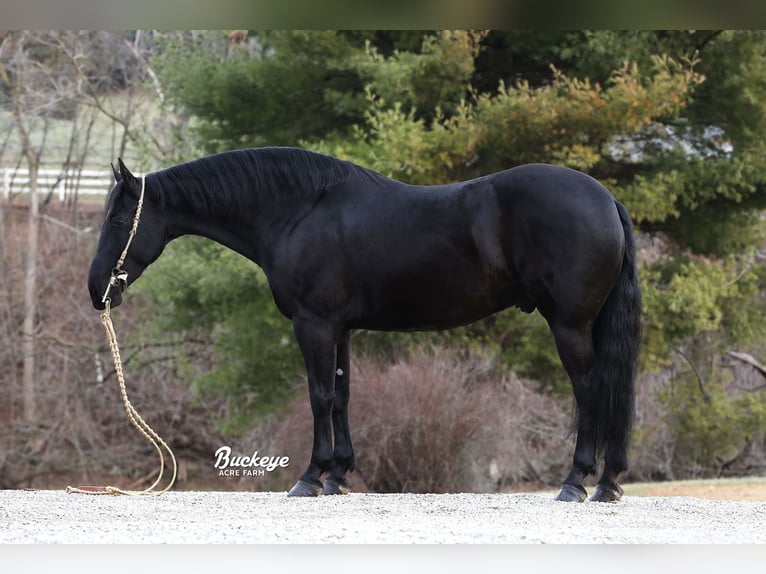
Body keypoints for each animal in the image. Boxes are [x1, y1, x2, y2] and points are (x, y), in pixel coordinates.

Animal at [88, 148, 640, 504]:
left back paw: (575, 482)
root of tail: (606, 199)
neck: (298, 211)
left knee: (592, 390)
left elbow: (318, 397)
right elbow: (343, 395)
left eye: (117, 220)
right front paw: (338, 476)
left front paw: (311, 477)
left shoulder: (313, 325)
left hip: (569, 324)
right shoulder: (342, 329)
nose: (96, 291)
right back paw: (608, 483)